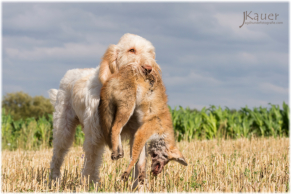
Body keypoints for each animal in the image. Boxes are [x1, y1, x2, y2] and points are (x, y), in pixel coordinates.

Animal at [48, 33, 157, 186]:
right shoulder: (95, 137)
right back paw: (54, 180)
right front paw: (89, 185)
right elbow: (91, 164)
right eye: (131, 50)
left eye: (150, 53)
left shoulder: (137, 132)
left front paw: (139, 187)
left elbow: (139, 164)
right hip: (63, 130)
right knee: (57, 156)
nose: (148, 68)